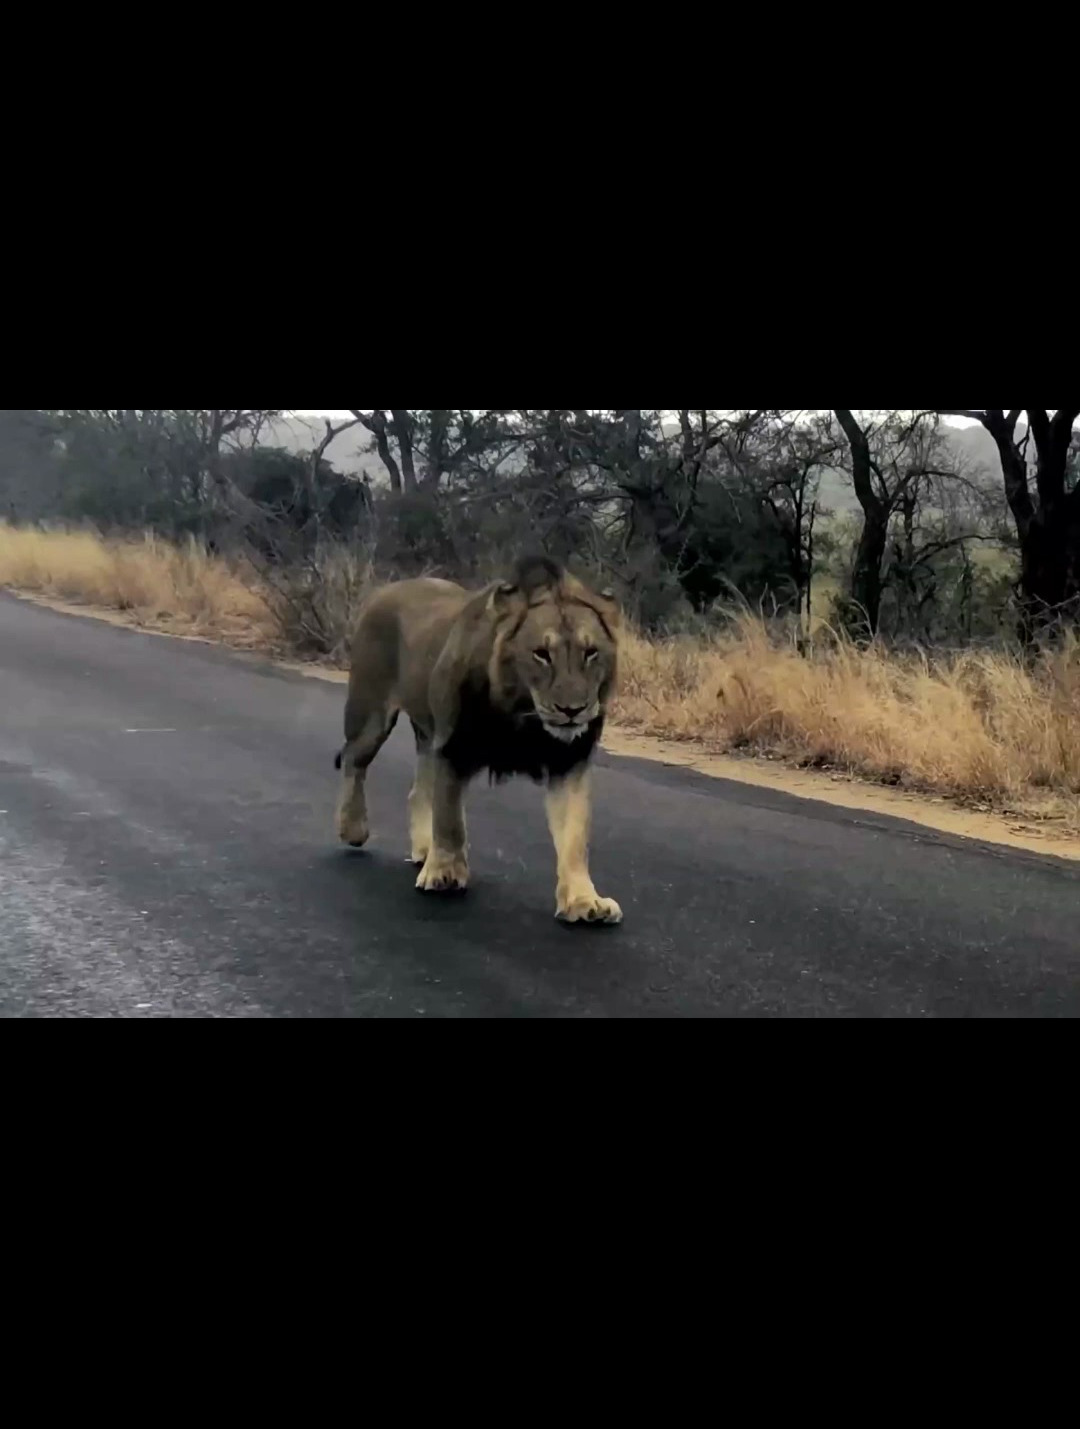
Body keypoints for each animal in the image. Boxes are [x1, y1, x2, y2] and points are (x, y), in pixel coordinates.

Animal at [337, 557, 625, 925]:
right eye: (541, 654)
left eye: (590, 653)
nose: (572, 710)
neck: (523, 715)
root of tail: (383, 590)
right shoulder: (453, 747)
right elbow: (450, 819)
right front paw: (444, 874)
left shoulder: (569, 762)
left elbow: (574, 836)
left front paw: (584, 900)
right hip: (371, 715)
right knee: (353, 760)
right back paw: (353, 828)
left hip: (428, 733)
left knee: (418, 791)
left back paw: (423, 850)